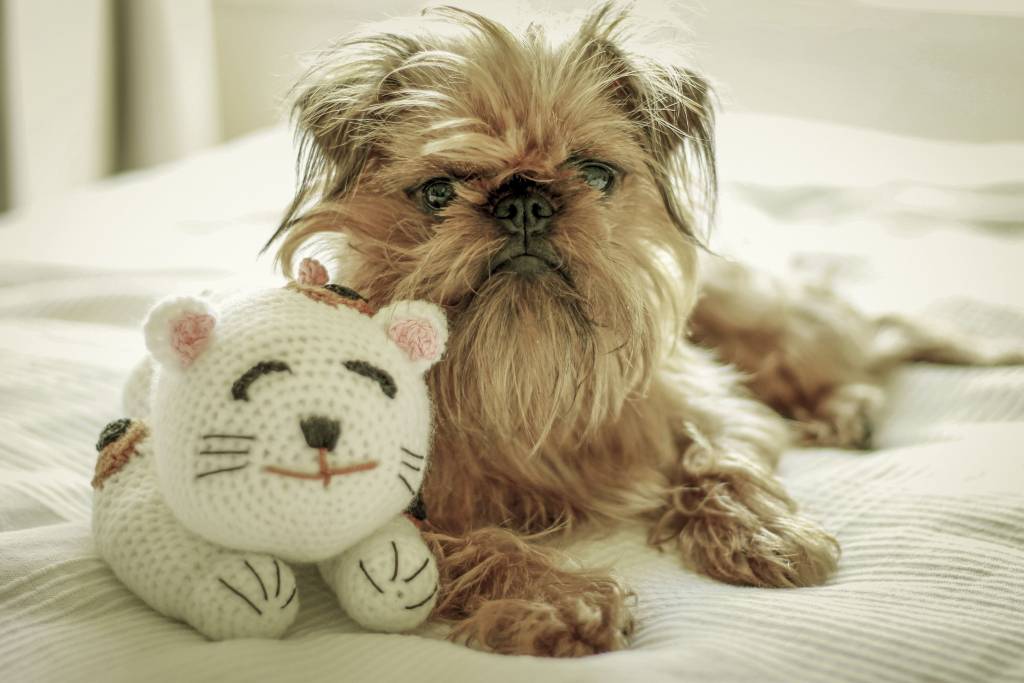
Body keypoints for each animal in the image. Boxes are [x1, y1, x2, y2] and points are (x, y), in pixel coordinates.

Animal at [264, 2, 1022, 657]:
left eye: (596, 174)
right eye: (438, 193)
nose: (524, 201)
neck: (523, 372)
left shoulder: (717, 407)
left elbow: (720, 462)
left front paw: (766, 534)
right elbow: (478, 547)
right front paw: (559, 600)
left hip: (754, 316)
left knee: (868, 344)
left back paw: (843, 409)